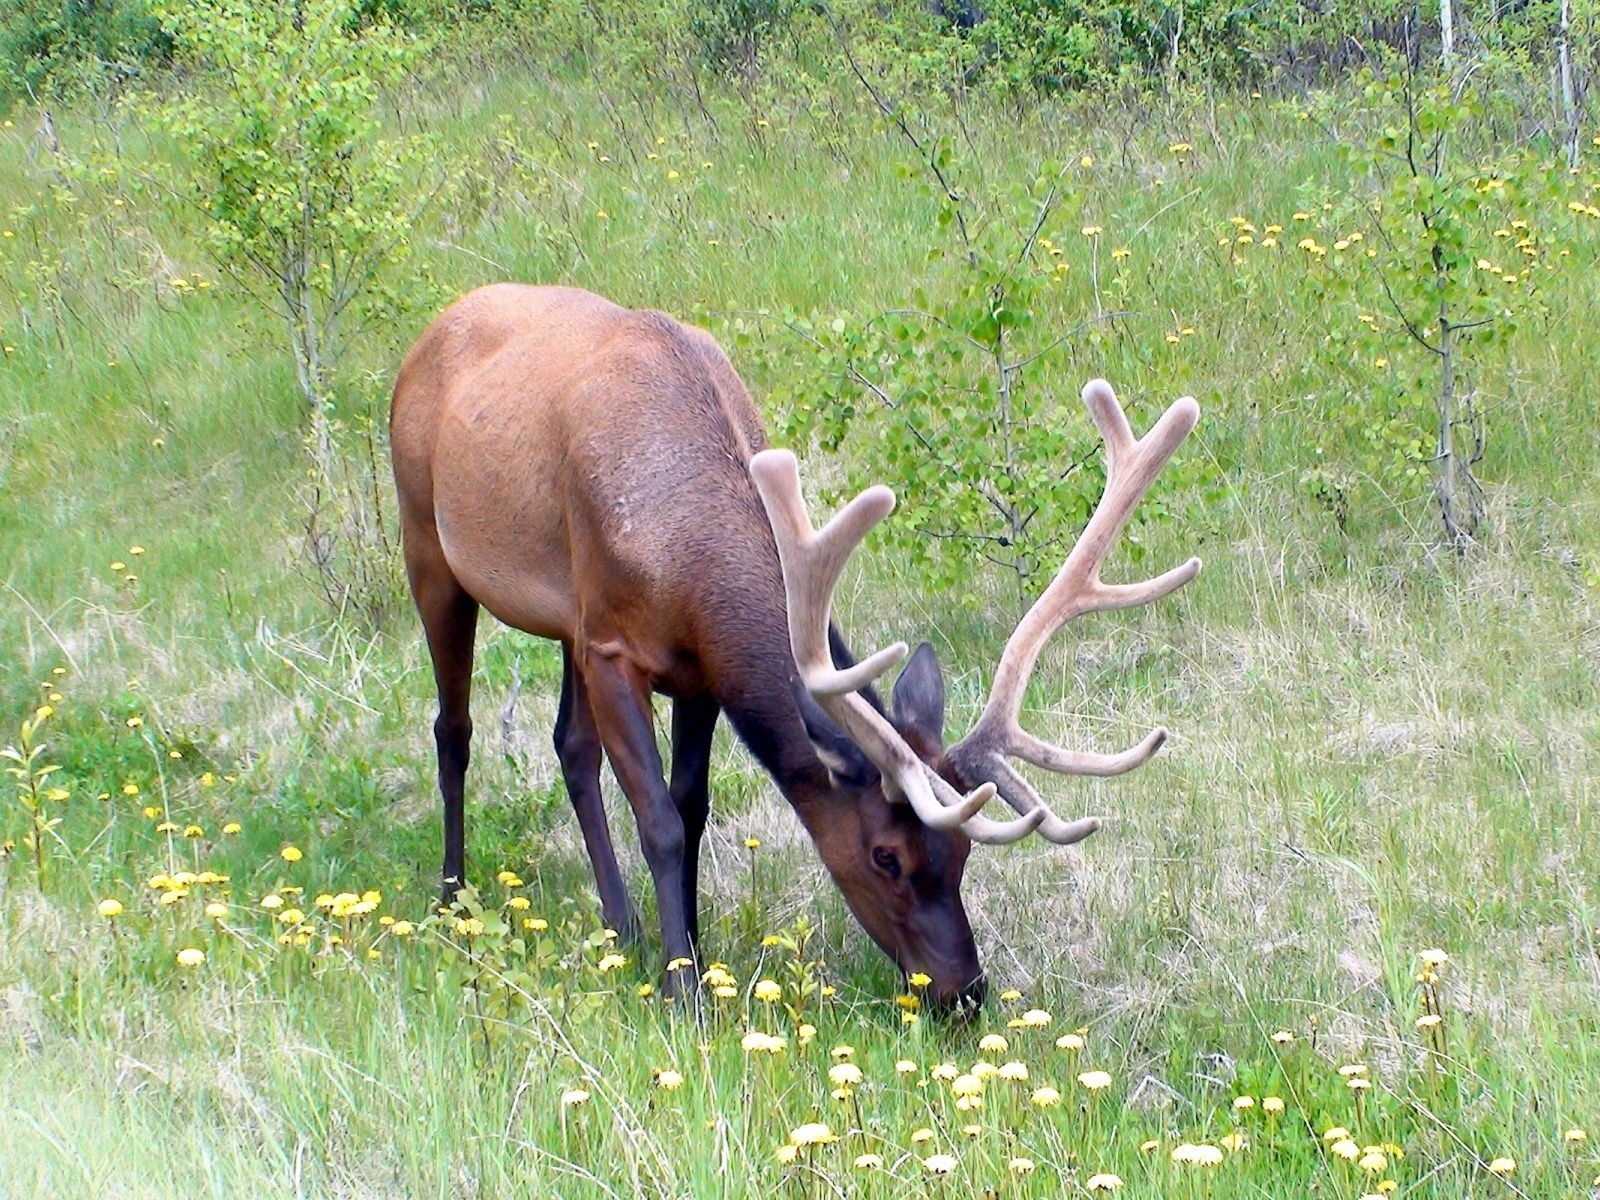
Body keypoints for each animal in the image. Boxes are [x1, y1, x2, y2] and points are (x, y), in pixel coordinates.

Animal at [390, 286, 1203, 1011]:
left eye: (964, 856)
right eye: (886, 855)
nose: (964, 993)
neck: (684, 560)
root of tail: (432, 328)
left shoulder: (690, 670)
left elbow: (691, 807)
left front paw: (690, 952)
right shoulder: (613, 646)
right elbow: (658, 820)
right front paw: (685, 993)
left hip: (564, 621)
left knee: (569, 744)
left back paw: (622, 928)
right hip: (428, 546)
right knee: (453, 728)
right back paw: (453, 894)